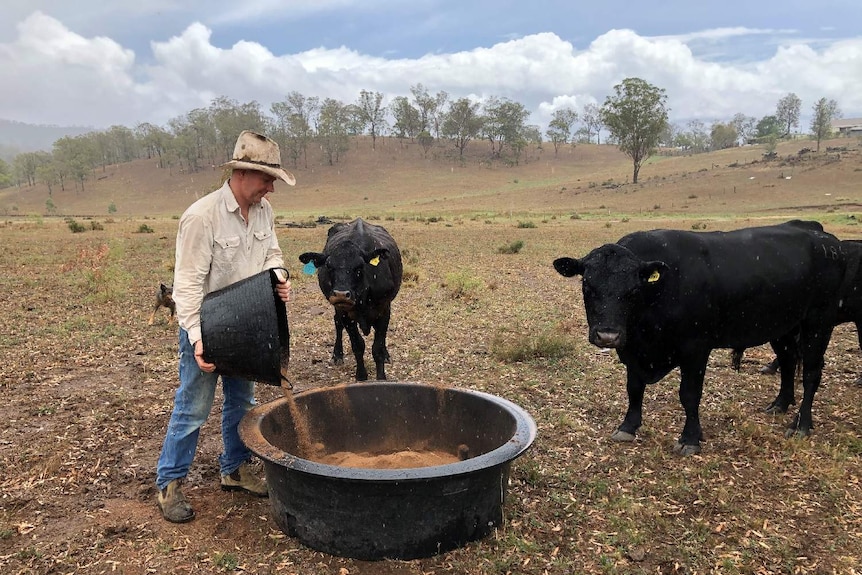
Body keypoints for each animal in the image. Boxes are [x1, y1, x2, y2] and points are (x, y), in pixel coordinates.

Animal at [298, 218, 404, 380]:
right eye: (329, 266)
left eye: (359, 267)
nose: (341, 294)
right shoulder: (346, 314)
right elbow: (358, 345)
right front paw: (361, 375)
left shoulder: (384, 309)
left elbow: (378, 347)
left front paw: (381, 376)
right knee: (337, 323)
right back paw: (337, 355)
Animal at [552, 219, 852, 454]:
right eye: (587, 285)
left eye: (633, 290)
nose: (607, 335)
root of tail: (825, 239)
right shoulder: (634, 351)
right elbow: (634, 388)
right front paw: (628, 426)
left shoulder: (695, 348)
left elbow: (689, 394)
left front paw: (690, 438)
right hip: (784, 327)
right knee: (789, 362)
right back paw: (779, 404)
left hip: (818, 322)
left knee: (811, 372)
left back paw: (801, 424)